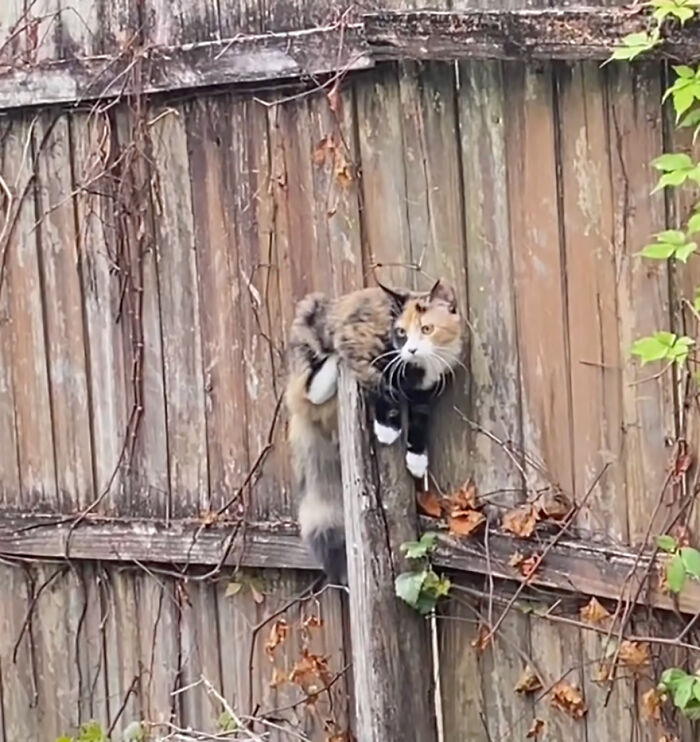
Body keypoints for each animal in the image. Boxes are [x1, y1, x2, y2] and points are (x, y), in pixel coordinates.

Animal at [284, 280, 464, 588]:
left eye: (426, 329)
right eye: (401, 333)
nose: (411, 349)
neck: (422, 365)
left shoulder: (425, 392)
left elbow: (419, 422)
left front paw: (417, 460)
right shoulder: (363, 347)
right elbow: (383, 387)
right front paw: (388, 430)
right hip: (311, 328)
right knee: (310, 387)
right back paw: (330, 364)